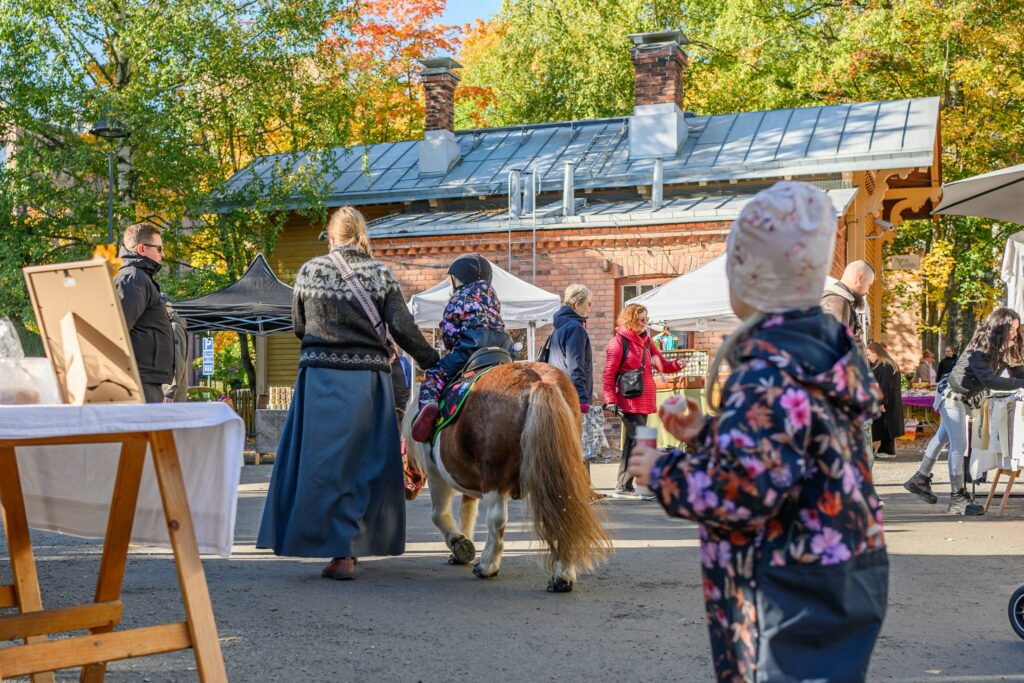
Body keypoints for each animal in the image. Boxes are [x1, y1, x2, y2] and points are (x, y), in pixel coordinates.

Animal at [403, 360, 610, 589]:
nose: (408, 493)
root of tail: (537, 380)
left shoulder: (438, 475)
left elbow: (439, 514)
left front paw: (459, 542)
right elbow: (467, 512)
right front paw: (462, 548)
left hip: (494, 478)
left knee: (496, 520)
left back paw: (487, 566)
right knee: (561, 513)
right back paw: (562, 576)